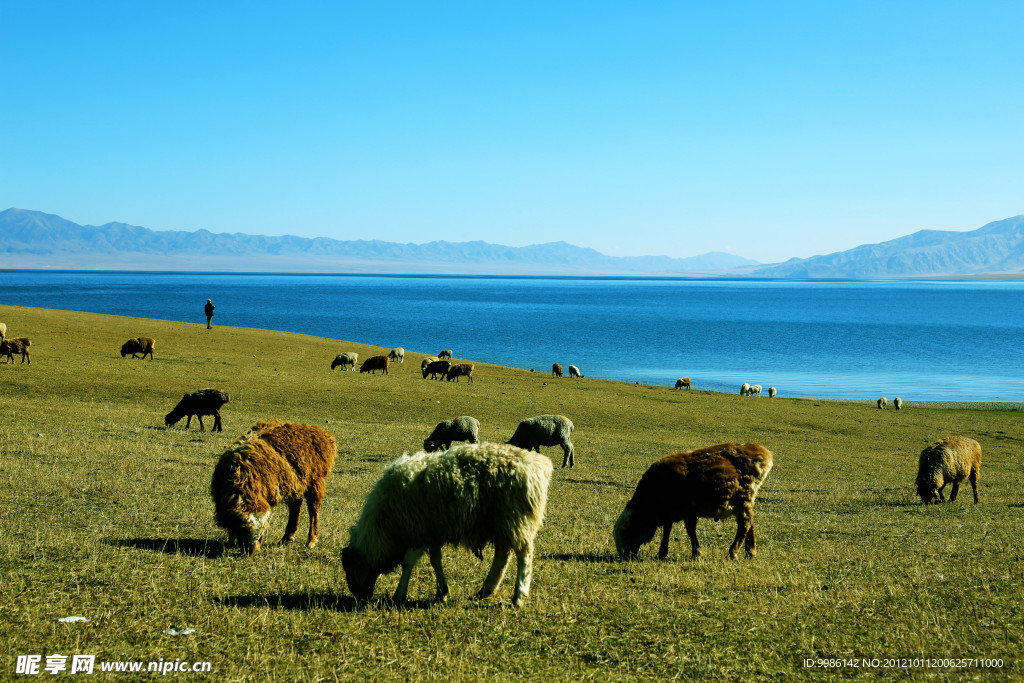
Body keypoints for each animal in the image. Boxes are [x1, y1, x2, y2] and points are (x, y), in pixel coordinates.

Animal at [209, 421, 337, 557]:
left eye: (262, 529)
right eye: (241, 528)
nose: (251, 551)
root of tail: (323, 434)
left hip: (316, 480)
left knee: (314, 510)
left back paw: (311, 541)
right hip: (296, 483)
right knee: (296, 507)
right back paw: (287, 538)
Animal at [342, 444, 552, 610]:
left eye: (352, 570)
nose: (359, 598)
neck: (383, 525)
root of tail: (538, 464)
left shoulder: (417, 530)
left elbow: (408, 563)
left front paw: (399, 595)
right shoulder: (432, 532)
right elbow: (436, 560)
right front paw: (441, 592)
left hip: (515, 517)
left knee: (524, 553)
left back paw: (519, 596)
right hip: (502, 522)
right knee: (503, 554)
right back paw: (487, 589)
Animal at [610, 444, 770, 561]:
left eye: (626, 532)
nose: (624, 556)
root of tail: (762, 452)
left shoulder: (687, 509)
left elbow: (690, 531)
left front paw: (696, 553)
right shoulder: (672, 511)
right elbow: (668, 529)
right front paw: (662, 552)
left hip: (744, 497)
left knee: (745, 525)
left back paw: (732, 553)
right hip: (744, 500)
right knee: (750, 523)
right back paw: (751, 552)